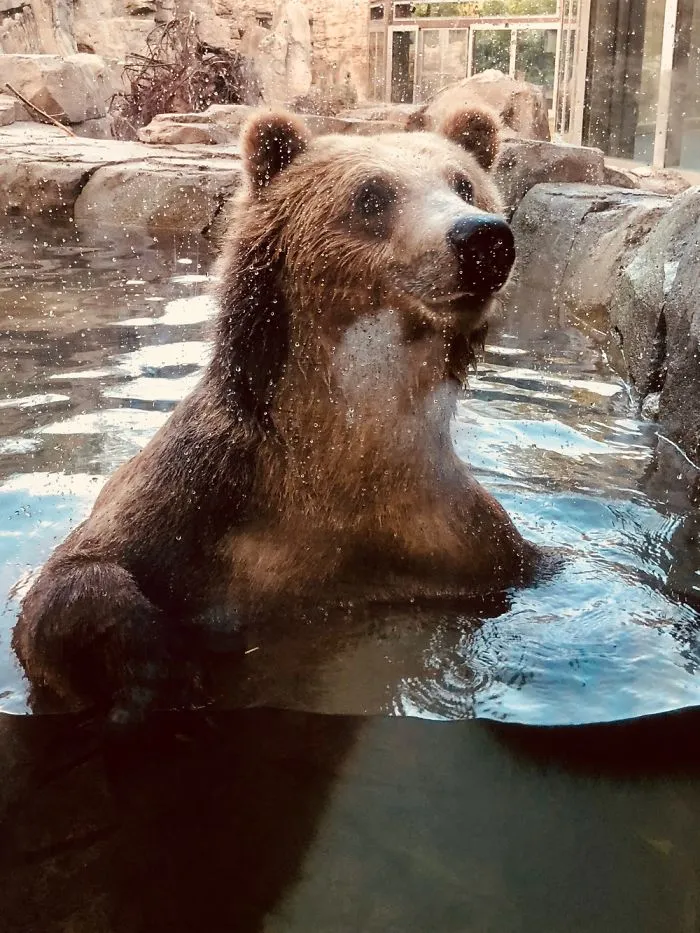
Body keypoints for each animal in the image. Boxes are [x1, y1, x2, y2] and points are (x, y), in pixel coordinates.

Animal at [12, 104, 544, 717]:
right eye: (371, 196)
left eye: (464, 185)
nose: (482, 239)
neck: (347, 447)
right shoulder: (206, 492)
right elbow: (70, 587)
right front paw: (162, 669)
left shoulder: (461, 537)